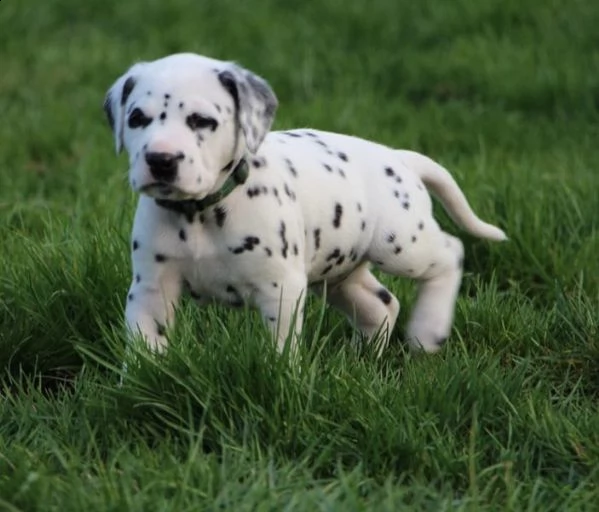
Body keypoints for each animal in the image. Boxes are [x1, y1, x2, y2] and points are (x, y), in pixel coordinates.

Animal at [103, 52, 506, 356]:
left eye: (201, 120)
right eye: (137, 118)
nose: (160, 160)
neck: (201, 213)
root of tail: (399, 157)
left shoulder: (280, 288)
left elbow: (280, 349)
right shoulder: (151, 289)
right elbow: (144, 347)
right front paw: (140, 385)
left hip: (401, 243)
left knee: (450, 252)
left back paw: (428, 329)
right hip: (339, 272)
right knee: (380, 305)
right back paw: (361, 361)